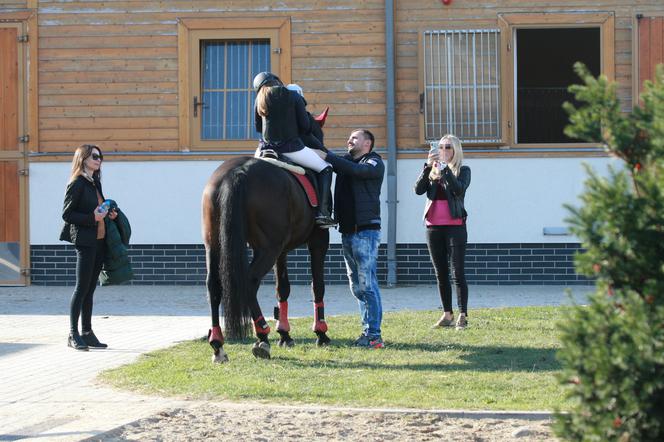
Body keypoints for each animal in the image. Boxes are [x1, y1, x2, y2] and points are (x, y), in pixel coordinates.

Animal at [200, 156, 330, 362]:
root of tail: (238, 172)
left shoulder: (282, 251)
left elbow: (282, 289)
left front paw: (284, 334)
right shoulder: (319, 240)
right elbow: (317, 285)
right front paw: (321, 332)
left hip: (213, 245)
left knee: (214, 286)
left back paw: (218, 344)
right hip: (268, 249)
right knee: (249, 281)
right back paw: (262, 335)